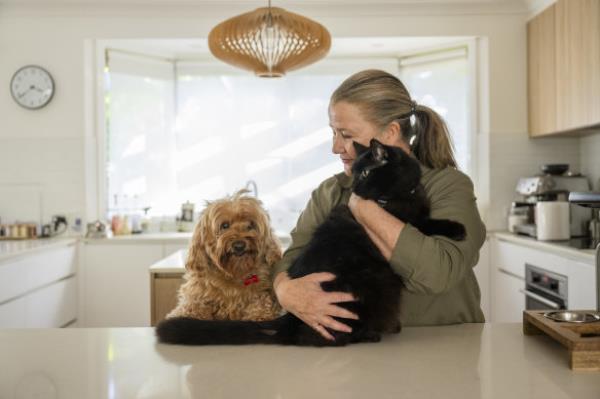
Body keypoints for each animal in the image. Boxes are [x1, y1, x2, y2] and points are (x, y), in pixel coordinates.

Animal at [166, 191, 284, 322]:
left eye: (250, 226)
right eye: (225, 225)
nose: (239, 245)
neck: (233, 273)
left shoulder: (261, 297)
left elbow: (261, 309)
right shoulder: (196, 296)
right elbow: (191, 307)